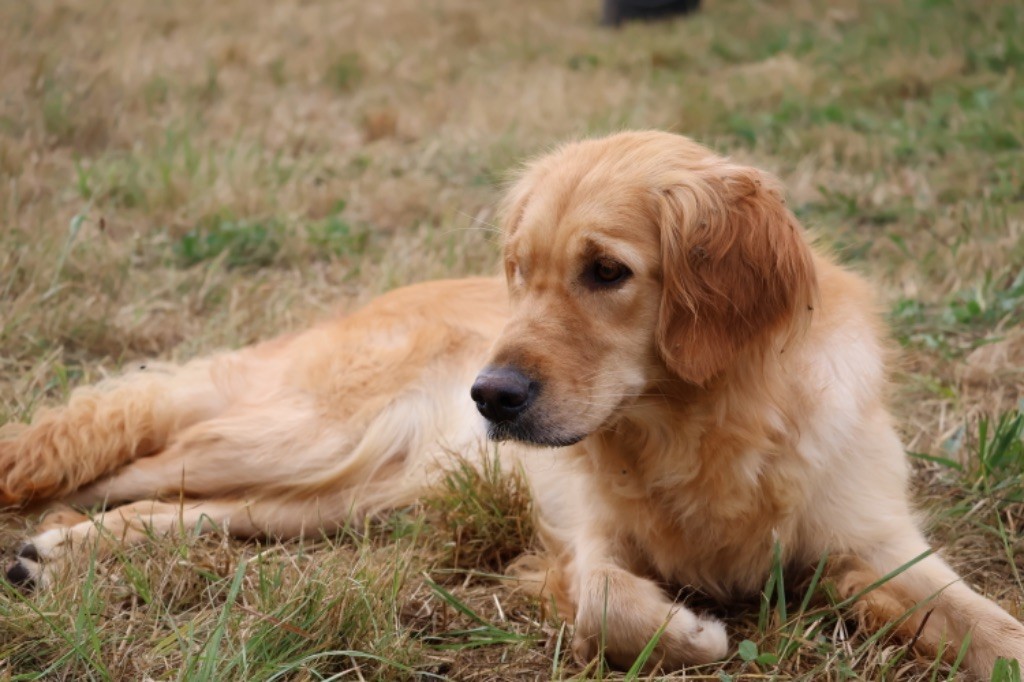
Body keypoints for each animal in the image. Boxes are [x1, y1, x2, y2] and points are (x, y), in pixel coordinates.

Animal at [2, 131, 1024, 675]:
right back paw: (49, 536)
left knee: (188, 508)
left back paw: (61, 552)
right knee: (134, 464)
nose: (487, 396)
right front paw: (690, 631)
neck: (705, 426)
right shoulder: (584, 542)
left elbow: (990, 625)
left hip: (338, 495)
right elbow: (607, 602)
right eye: (520, 273)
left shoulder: (883, 548)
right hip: (296, 437)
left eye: (607, 271)